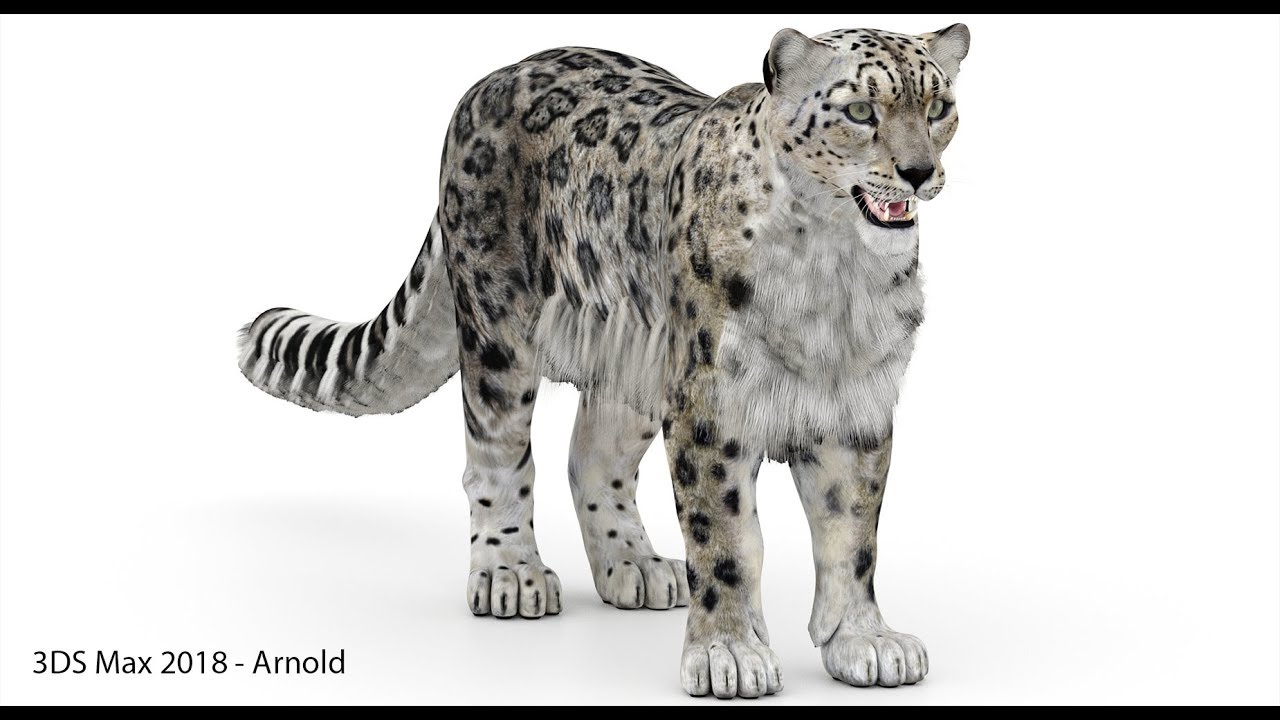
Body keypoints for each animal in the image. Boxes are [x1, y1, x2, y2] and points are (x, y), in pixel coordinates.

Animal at [237, 23, 970, 698]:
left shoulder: (857, 403)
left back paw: (636, 566)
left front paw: (865, 642)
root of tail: (495, 77)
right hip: (501, 328)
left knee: (592, 456)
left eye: (939, 106)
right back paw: (510, 574)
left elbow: (854, 531)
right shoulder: (712, 403)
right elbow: (726, 536)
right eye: (860, 111)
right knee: (496, 452)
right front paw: (729, 656)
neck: (834, 267)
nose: (917, 172)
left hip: (636, 352)